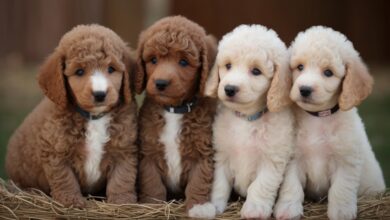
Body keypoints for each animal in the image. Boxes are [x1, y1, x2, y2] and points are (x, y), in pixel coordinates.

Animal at [5, 24, 139, 208]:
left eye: (111, 69)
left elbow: (122, 178)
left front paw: (122, 202)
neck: (94, 117)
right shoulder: (56, 152)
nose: (100, 94)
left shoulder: (124, 148)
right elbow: (65, 179)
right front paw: (71, 201)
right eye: (79, 71)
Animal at [136, 15, 218, 218]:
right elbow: (152, 183)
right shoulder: (148, 153)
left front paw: (198, 207)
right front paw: (153, 205)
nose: (160, 83)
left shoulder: (203, 153)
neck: (174, 110)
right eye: (153, 59)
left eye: (183, 62)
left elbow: (198, 181)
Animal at [197, 23, 294, 218]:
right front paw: (214, 206)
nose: (229, 89)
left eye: (256, 71)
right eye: (228, 65)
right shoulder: (221, 155)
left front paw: (255, 209)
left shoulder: (272, 159)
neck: (246, 118)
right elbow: (219, 184)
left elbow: (260, 186)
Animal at [272, 26, 386, 220]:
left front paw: (341, 213)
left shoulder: (346, 161)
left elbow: (340, 189)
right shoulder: (293, 160)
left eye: (328, 73)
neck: (318, 117)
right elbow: (292, 187)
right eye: (300, 67)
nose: (304, 89)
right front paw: (288, 209)